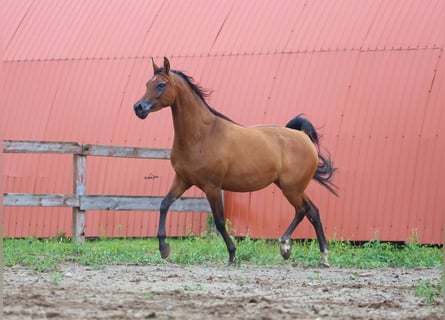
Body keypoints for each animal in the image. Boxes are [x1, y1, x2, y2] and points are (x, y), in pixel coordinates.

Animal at [133, 58, 336, 268]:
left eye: (161, 84)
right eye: (147, 84)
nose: (138, 108)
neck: (202, 135)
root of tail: (303, 136)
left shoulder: (212, 186)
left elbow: (220, 221)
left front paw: (232, 254)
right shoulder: (182, 180)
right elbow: (164, 204)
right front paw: (164, 248)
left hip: (292, 188)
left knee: (303, 210)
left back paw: (286, 246)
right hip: (291, 187)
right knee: (313, 211)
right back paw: (321, 256)